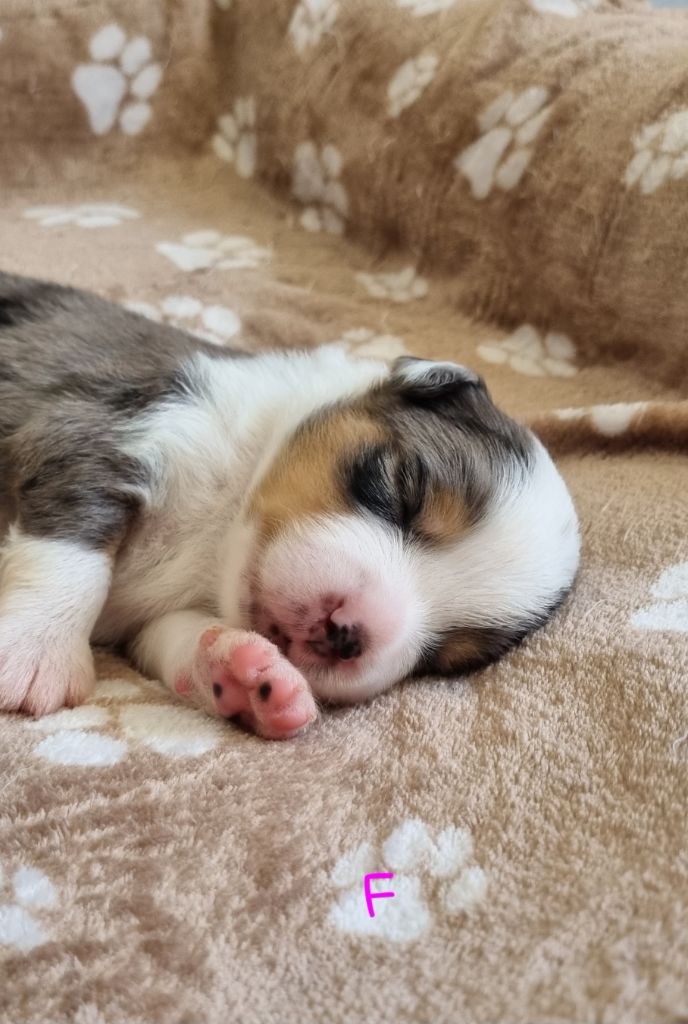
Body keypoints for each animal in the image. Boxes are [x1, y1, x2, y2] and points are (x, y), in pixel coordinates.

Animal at [0, 270, 580, 739]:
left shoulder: (151, 618)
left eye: (441, 657)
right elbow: (70, 551)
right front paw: (36, 654)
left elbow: (177, 636)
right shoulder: (102, 424)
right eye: (403, 488)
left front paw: (248, 674)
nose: (345, 632)